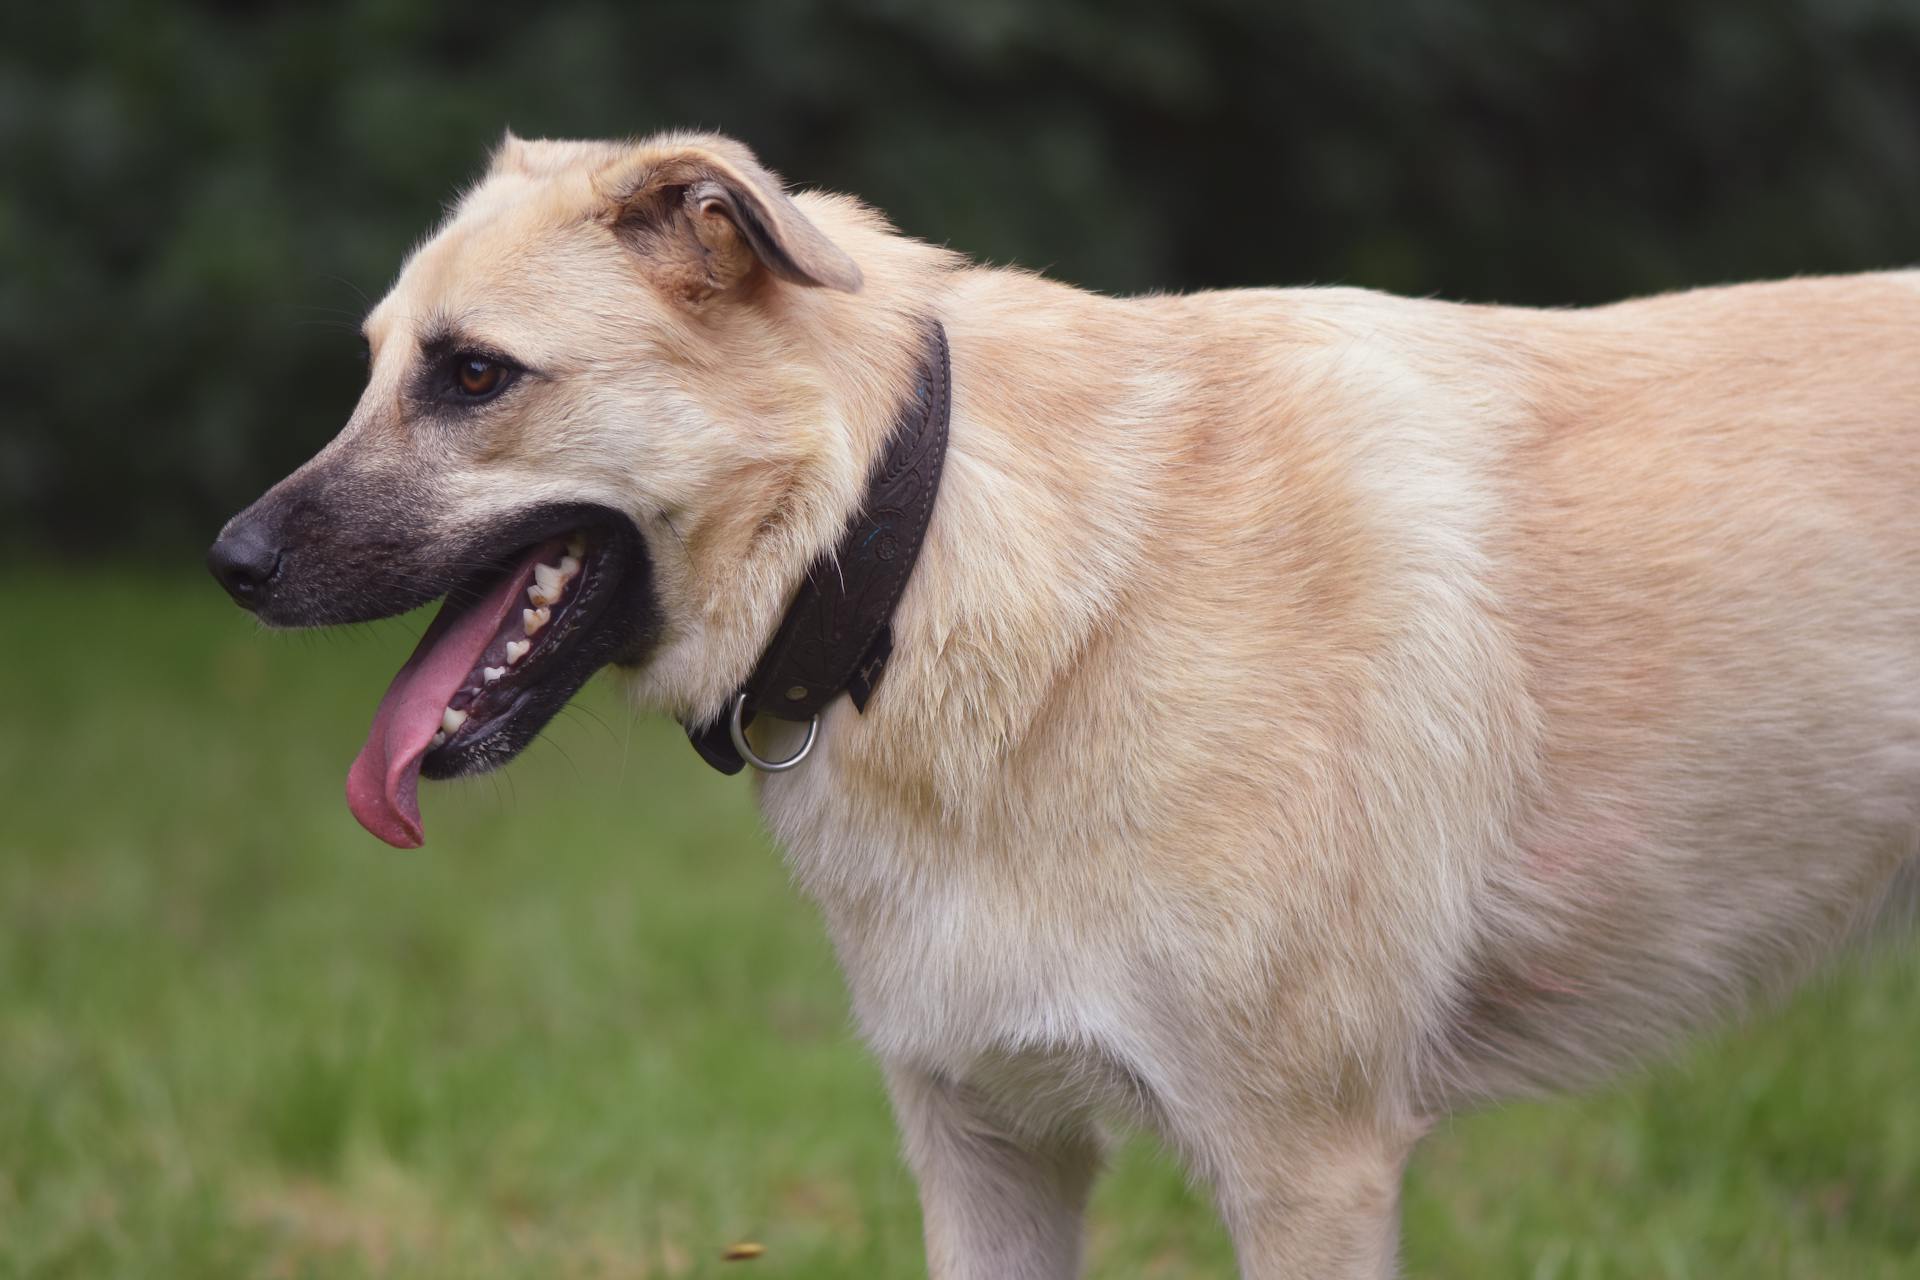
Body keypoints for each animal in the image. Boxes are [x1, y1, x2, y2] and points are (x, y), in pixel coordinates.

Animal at [210, 135, 1920, 1274]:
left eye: (474, 377)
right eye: (376, 365)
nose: (229, 563)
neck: (907, 545)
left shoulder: (1308, 1166)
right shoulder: (989, 1144)